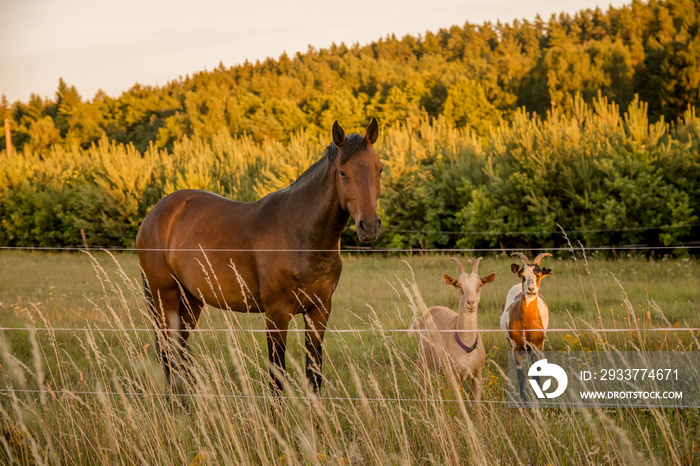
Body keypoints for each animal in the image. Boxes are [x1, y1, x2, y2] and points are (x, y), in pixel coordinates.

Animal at [137, 119, 382, 394]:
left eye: (379, 169)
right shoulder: (276, 314)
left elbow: (313, 377)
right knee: (168, 352)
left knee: (178, 353)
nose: (369, 226)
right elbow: (277, 378)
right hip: (165, 296)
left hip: (190, 300)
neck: (300, 233)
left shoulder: (319, 311)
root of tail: (156, 212)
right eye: (342, 172)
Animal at [412, 255, 494, 400]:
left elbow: (477, 404)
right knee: (422, 390)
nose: (471, 302)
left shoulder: (477, 376)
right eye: (458, 285)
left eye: (479, 285)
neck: (467, 347)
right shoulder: (455, 377)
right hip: (423, 363)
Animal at [500, 251, 556, 400]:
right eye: (522, 275)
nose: (531, 289)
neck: (527, 324)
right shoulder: (515, 348)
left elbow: (536, 376)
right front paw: (523, 402)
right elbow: (521, 377)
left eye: (539, 274)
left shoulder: (537, 347)